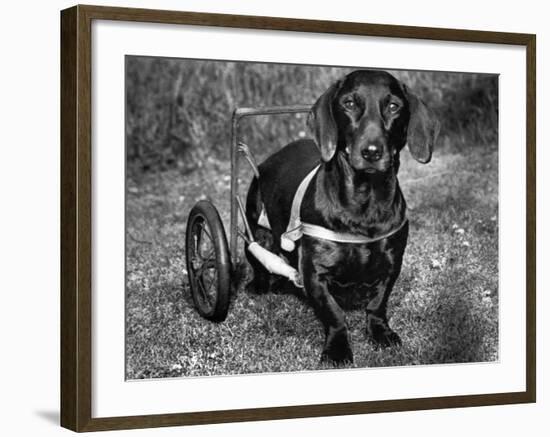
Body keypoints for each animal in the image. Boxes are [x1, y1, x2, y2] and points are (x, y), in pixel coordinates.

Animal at [246, 70, 440, 362]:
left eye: (393, 106)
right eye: (349, 103)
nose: (371, 152)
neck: (364, 201)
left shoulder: (392, 263)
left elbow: (377, 304)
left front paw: (381, 332)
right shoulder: (315, 271)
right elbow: (334, 313)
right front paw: (337, 348)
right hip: (254, 224)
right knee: (257, 256)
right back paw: (260, 283)